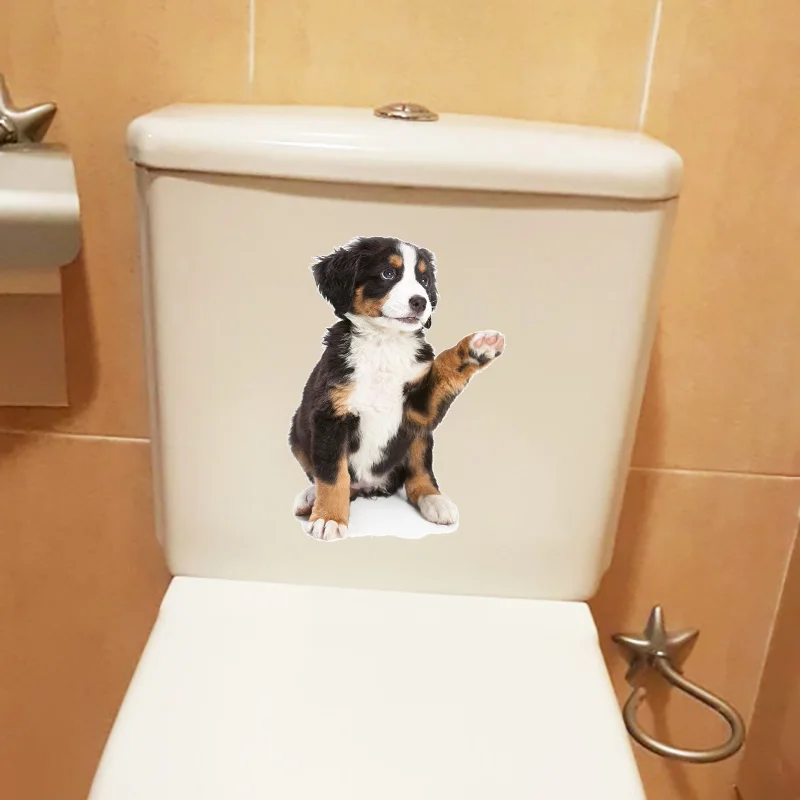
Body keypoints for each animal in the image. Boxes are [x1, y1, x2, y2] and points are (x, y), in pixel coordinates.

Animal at [289, 236, 505, 541]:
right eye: (388, 274)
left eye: (424, 280)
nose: (420, 302)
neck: (384, 345)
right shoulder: (330, 416)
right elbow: (332, 475)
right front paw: (329, 518)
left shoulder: (418, 409)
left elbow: (443, 368)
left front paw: (477, 348)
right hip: (297, 430)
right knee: (325, 476)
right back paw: (310, 498)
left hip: (420, 437)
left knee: (419, 474)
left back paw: (434, 499)